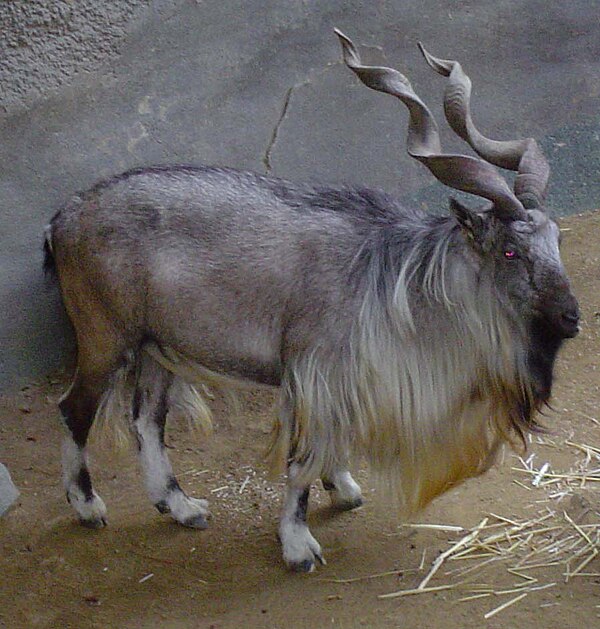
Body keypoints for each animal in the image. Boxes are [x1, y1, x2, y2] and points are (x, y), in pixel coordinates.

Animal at [42, 30, 576, 568]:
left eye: (556, 239)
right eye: (510, 250)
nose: (570, 317)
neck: (390, 276)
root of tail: (64, 217)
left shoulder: (340, 383)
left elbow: (330, 445)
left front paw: (343, 489)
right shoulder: (311, 373)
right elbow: (300, 460)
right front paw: (298, 544)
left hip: (157, 348)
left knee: (146, 420)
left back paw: (180, 506)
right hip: (107, 339)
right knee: (74, 409)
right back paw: (88, 506)